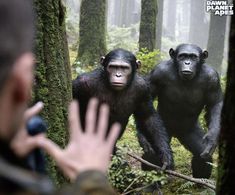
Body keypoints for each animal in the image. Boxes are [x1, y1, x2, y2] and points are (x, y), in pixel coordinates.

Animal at [140, 43, 223, 178]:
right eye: (182, 56)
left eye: (193, 57)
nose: (187, 63)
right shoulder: (158, 73)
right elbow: (147, 97)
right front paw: (142, 137)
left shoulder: (213, 78)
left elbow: (215, 104)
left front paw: (211, 139)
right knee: (152, 152)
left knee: (202, 156)